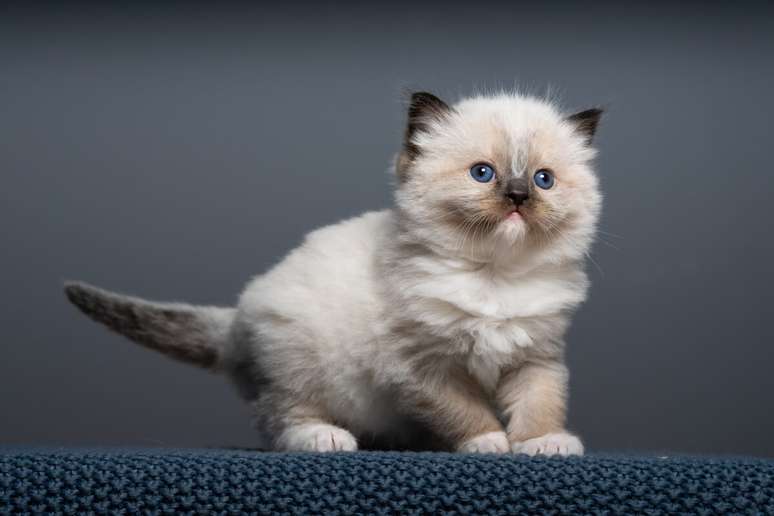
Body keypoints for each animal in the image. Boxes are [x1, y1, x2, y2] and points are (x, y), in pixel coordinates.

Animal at [65, 90, 608, 454]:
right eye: (483, 174)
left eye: (543, 180)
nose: (518, 197)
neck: (494, 276)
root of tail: (237, 316)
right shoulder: (423, 367)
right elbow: (465, 409)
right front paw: (488, 442)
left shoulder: (536, 355)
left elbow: (541, 402)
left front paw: (544, 442)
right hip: (299, 354)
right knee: (279, 420)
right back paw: (324, 436)